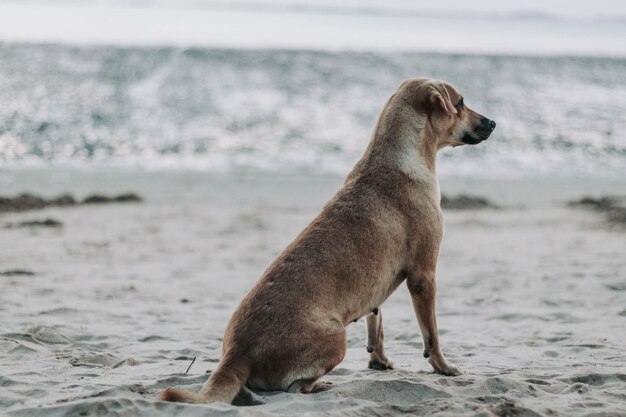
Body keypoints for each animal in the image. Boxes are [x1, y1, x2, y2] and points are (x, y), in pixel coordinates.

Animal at [158, 77, 494, 404]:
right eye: (460, 102)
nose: (492, 122)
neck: (399, 155)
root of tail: (236, 355)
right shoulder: (424, 276)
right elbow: (432, 335)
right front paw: (444, 366)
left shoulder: (376, 289)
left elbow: (377, 322)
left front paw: (379, 360)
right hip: (337, 338)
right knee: (295, 388)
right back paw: (319, 385)